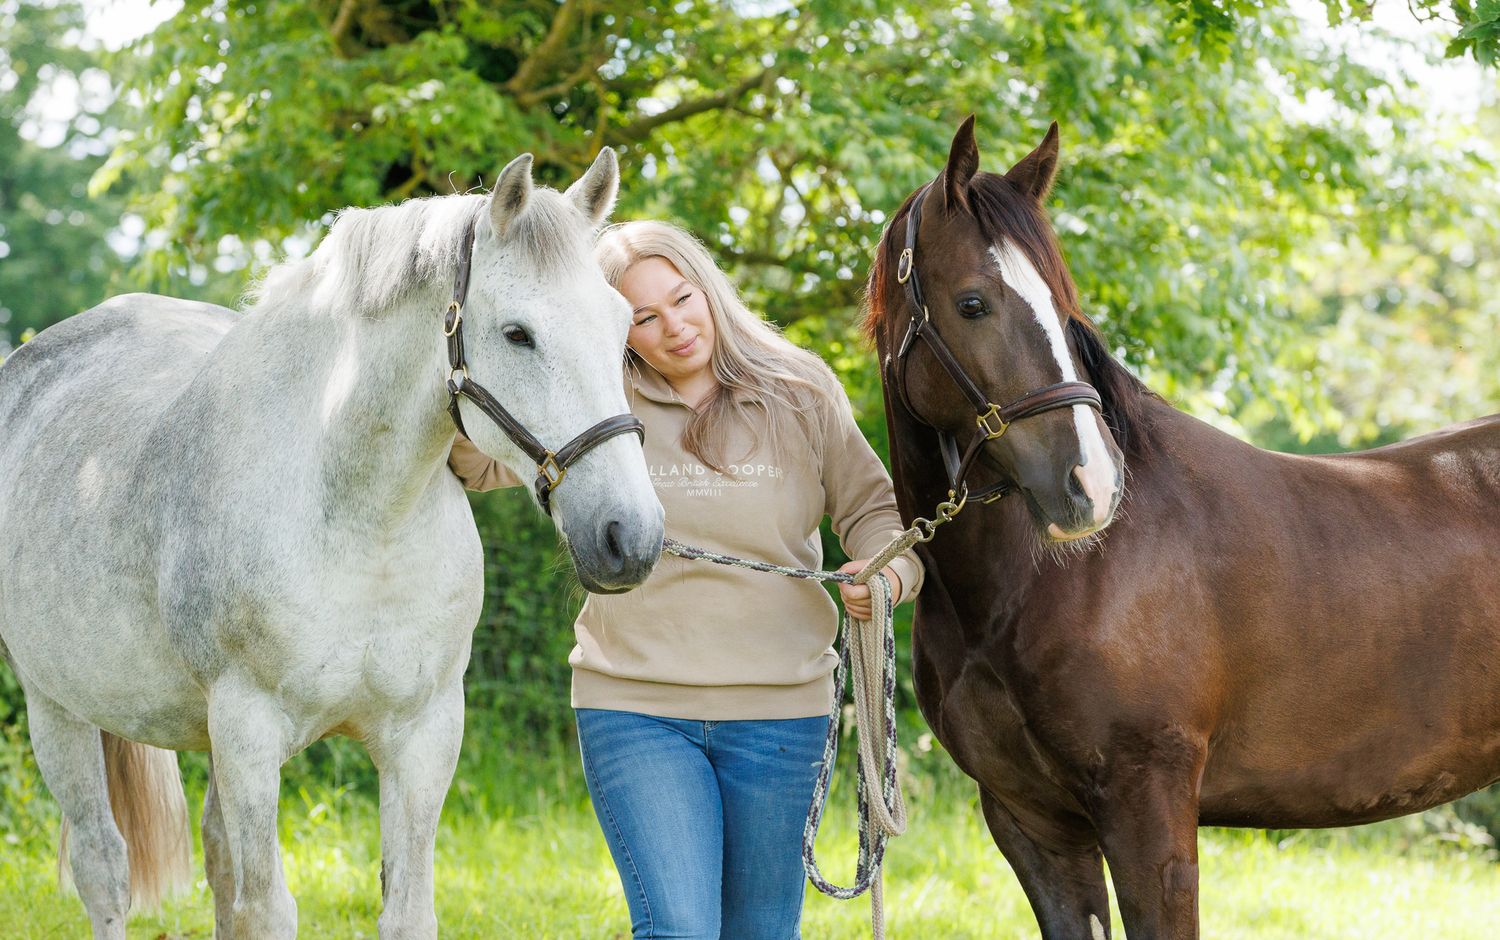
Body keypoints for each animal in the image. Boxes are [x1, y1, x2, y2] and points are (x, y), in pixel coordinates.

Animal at [0, 148, 664, 940]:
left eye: (623, 327)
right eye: (517, 334)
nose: (631, 537)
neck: (360, 525)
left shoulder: (423, 735)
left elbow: (403, 909)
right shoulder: (250, 733)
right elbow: (268, 908)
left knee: (216, 858)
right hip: (57, 709)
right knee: (104, 866)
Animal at [864, 116, 1500, 939]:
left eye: (1064, 305)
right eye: (972, 304)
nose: (1091, 485)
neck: (1040, 586)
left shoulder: (1150, 809)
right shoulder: (1032, 825)